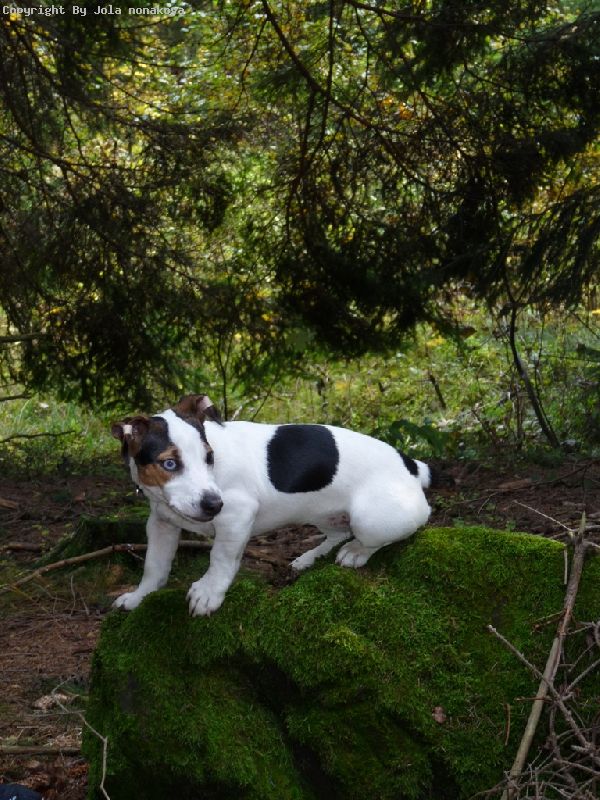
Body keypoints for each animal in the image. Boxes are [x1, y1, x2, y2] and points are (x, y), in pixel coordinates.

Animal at [111, 394, 440, 616]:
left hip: (370, 518)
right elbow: (154, 565)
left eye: (209, 457)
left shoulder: (236, 516)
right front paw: (139, 596)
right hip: (322, 513)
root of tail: (411, 465)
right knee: (338, 533)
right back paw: (308, 558)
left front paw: (208, 592)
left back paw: (356, 552)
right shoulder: (160, 523)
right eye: (169, 463)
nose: (214, 505)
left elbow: (220, 559)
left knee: (385, 535)